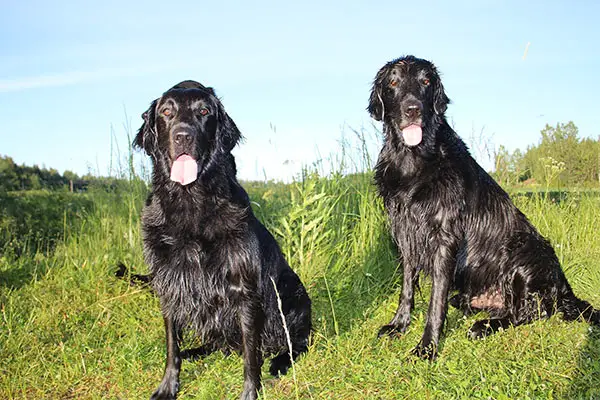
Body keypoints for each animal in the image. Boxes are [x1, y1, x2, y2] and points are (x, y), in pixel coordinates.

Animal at [129, 79, 312, 398]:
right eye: (166, 112)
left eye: (203, 111)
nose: (183, 136)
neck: (191, 201)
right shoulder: (168, 284)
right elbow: (171, 346)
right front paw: (168, 385)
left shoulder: (244, 289)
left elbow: (251, 355)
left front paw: (250, 392)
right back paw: (195, 351)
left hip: (294, 295)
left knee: (296, 342)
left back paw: (279, 362)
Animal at [368, 55, 596, 360]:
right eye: (393, 83)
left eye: (425, 81)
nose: (413, 109)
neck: (413, 160)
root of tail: (564, 288)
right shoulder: (405, 234)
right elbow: (407, 287)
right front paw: (399, 325)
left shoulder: (445, 236)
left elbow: (435, 301)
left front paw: (427, 347)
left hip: (525, 253)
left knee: (530, 313)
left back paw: (484, 326)